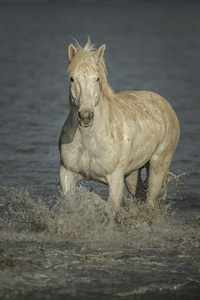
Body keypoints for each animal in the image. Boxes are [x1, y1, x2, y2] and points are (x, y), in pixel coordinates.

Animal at [58, 39, 180, 216]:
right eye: (72, 78)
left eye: (97, 78)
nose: (86, 116)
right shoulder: (67, 174)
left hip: (158, 165)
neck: (89, 140)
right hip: (131, 174)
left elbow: (112, 211)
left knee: (151, 200)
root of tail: (164, 104)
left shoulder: (114, 178)